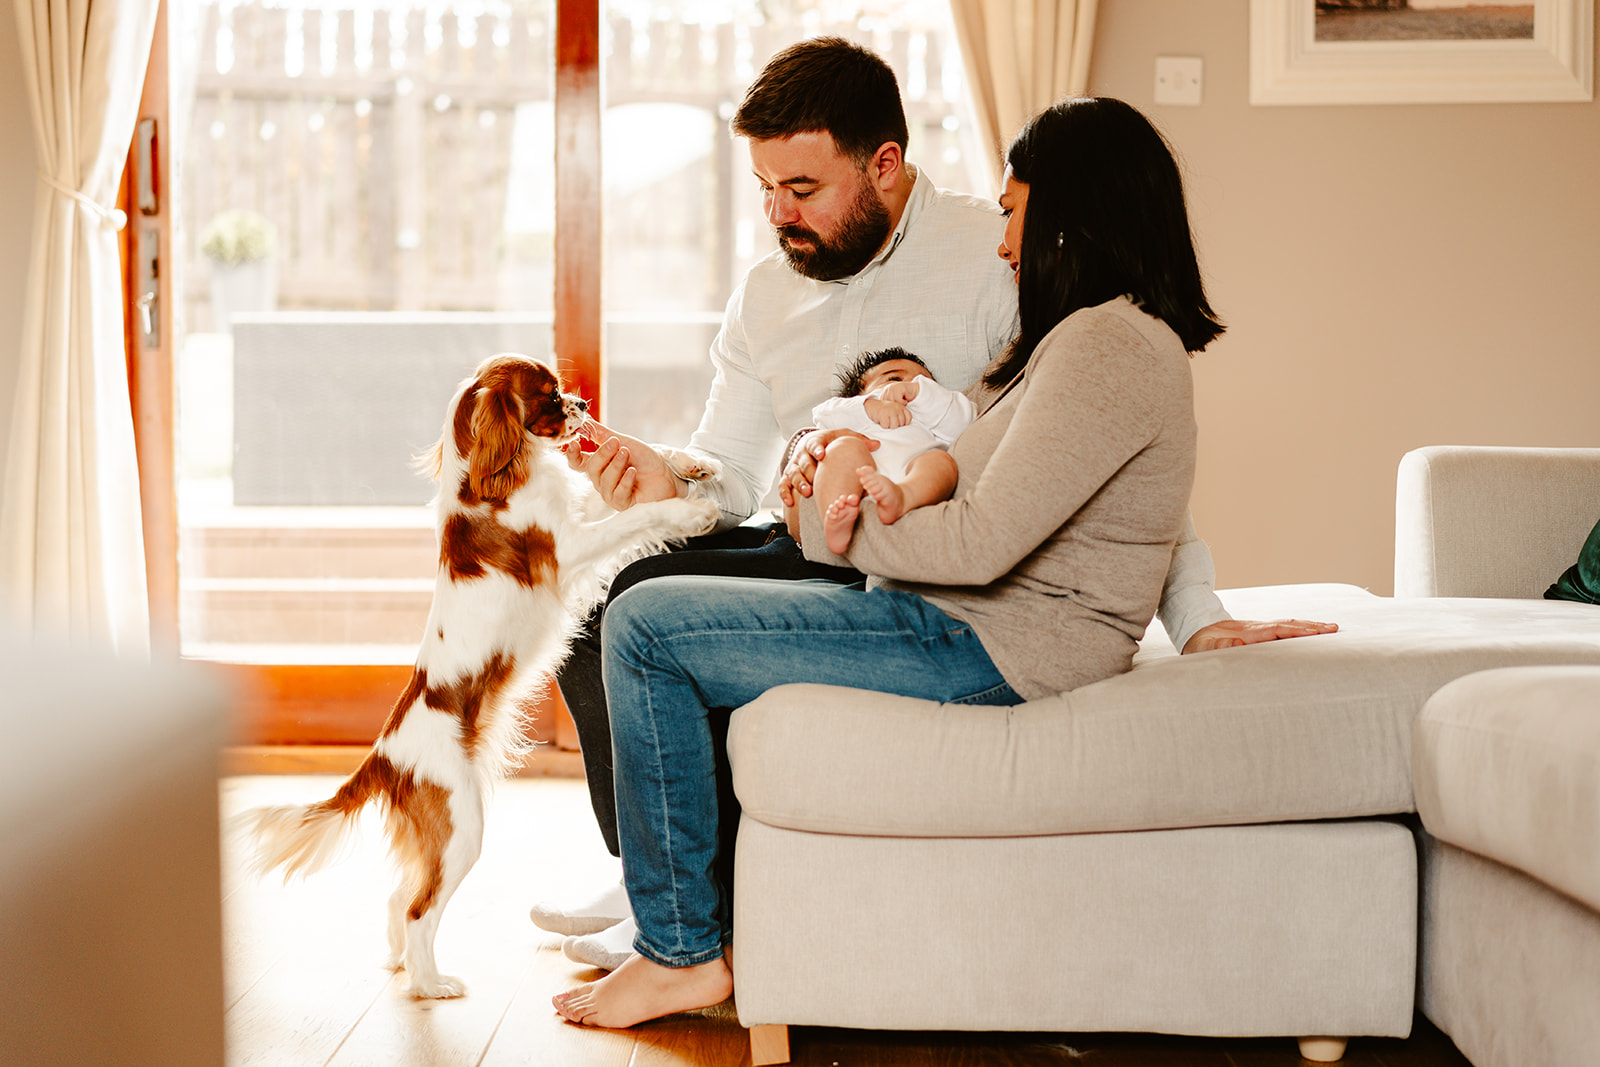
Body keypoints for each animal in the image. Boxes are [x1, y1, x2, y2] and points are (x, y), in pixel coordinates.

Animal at [233, 355, 716, 998]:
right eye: (550, 396)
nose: (583, 403)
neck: (495, 478)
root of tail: (383, 756)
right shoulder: (567, 547)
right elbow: (636, 513)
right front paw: (692, 509)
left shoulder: (574, 519)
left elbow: (625, 487)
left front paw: (691, 464)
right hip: (462, 827)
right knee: (418, 909)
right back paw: (431, 984)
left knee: (398, 898)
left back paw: (402, 966)